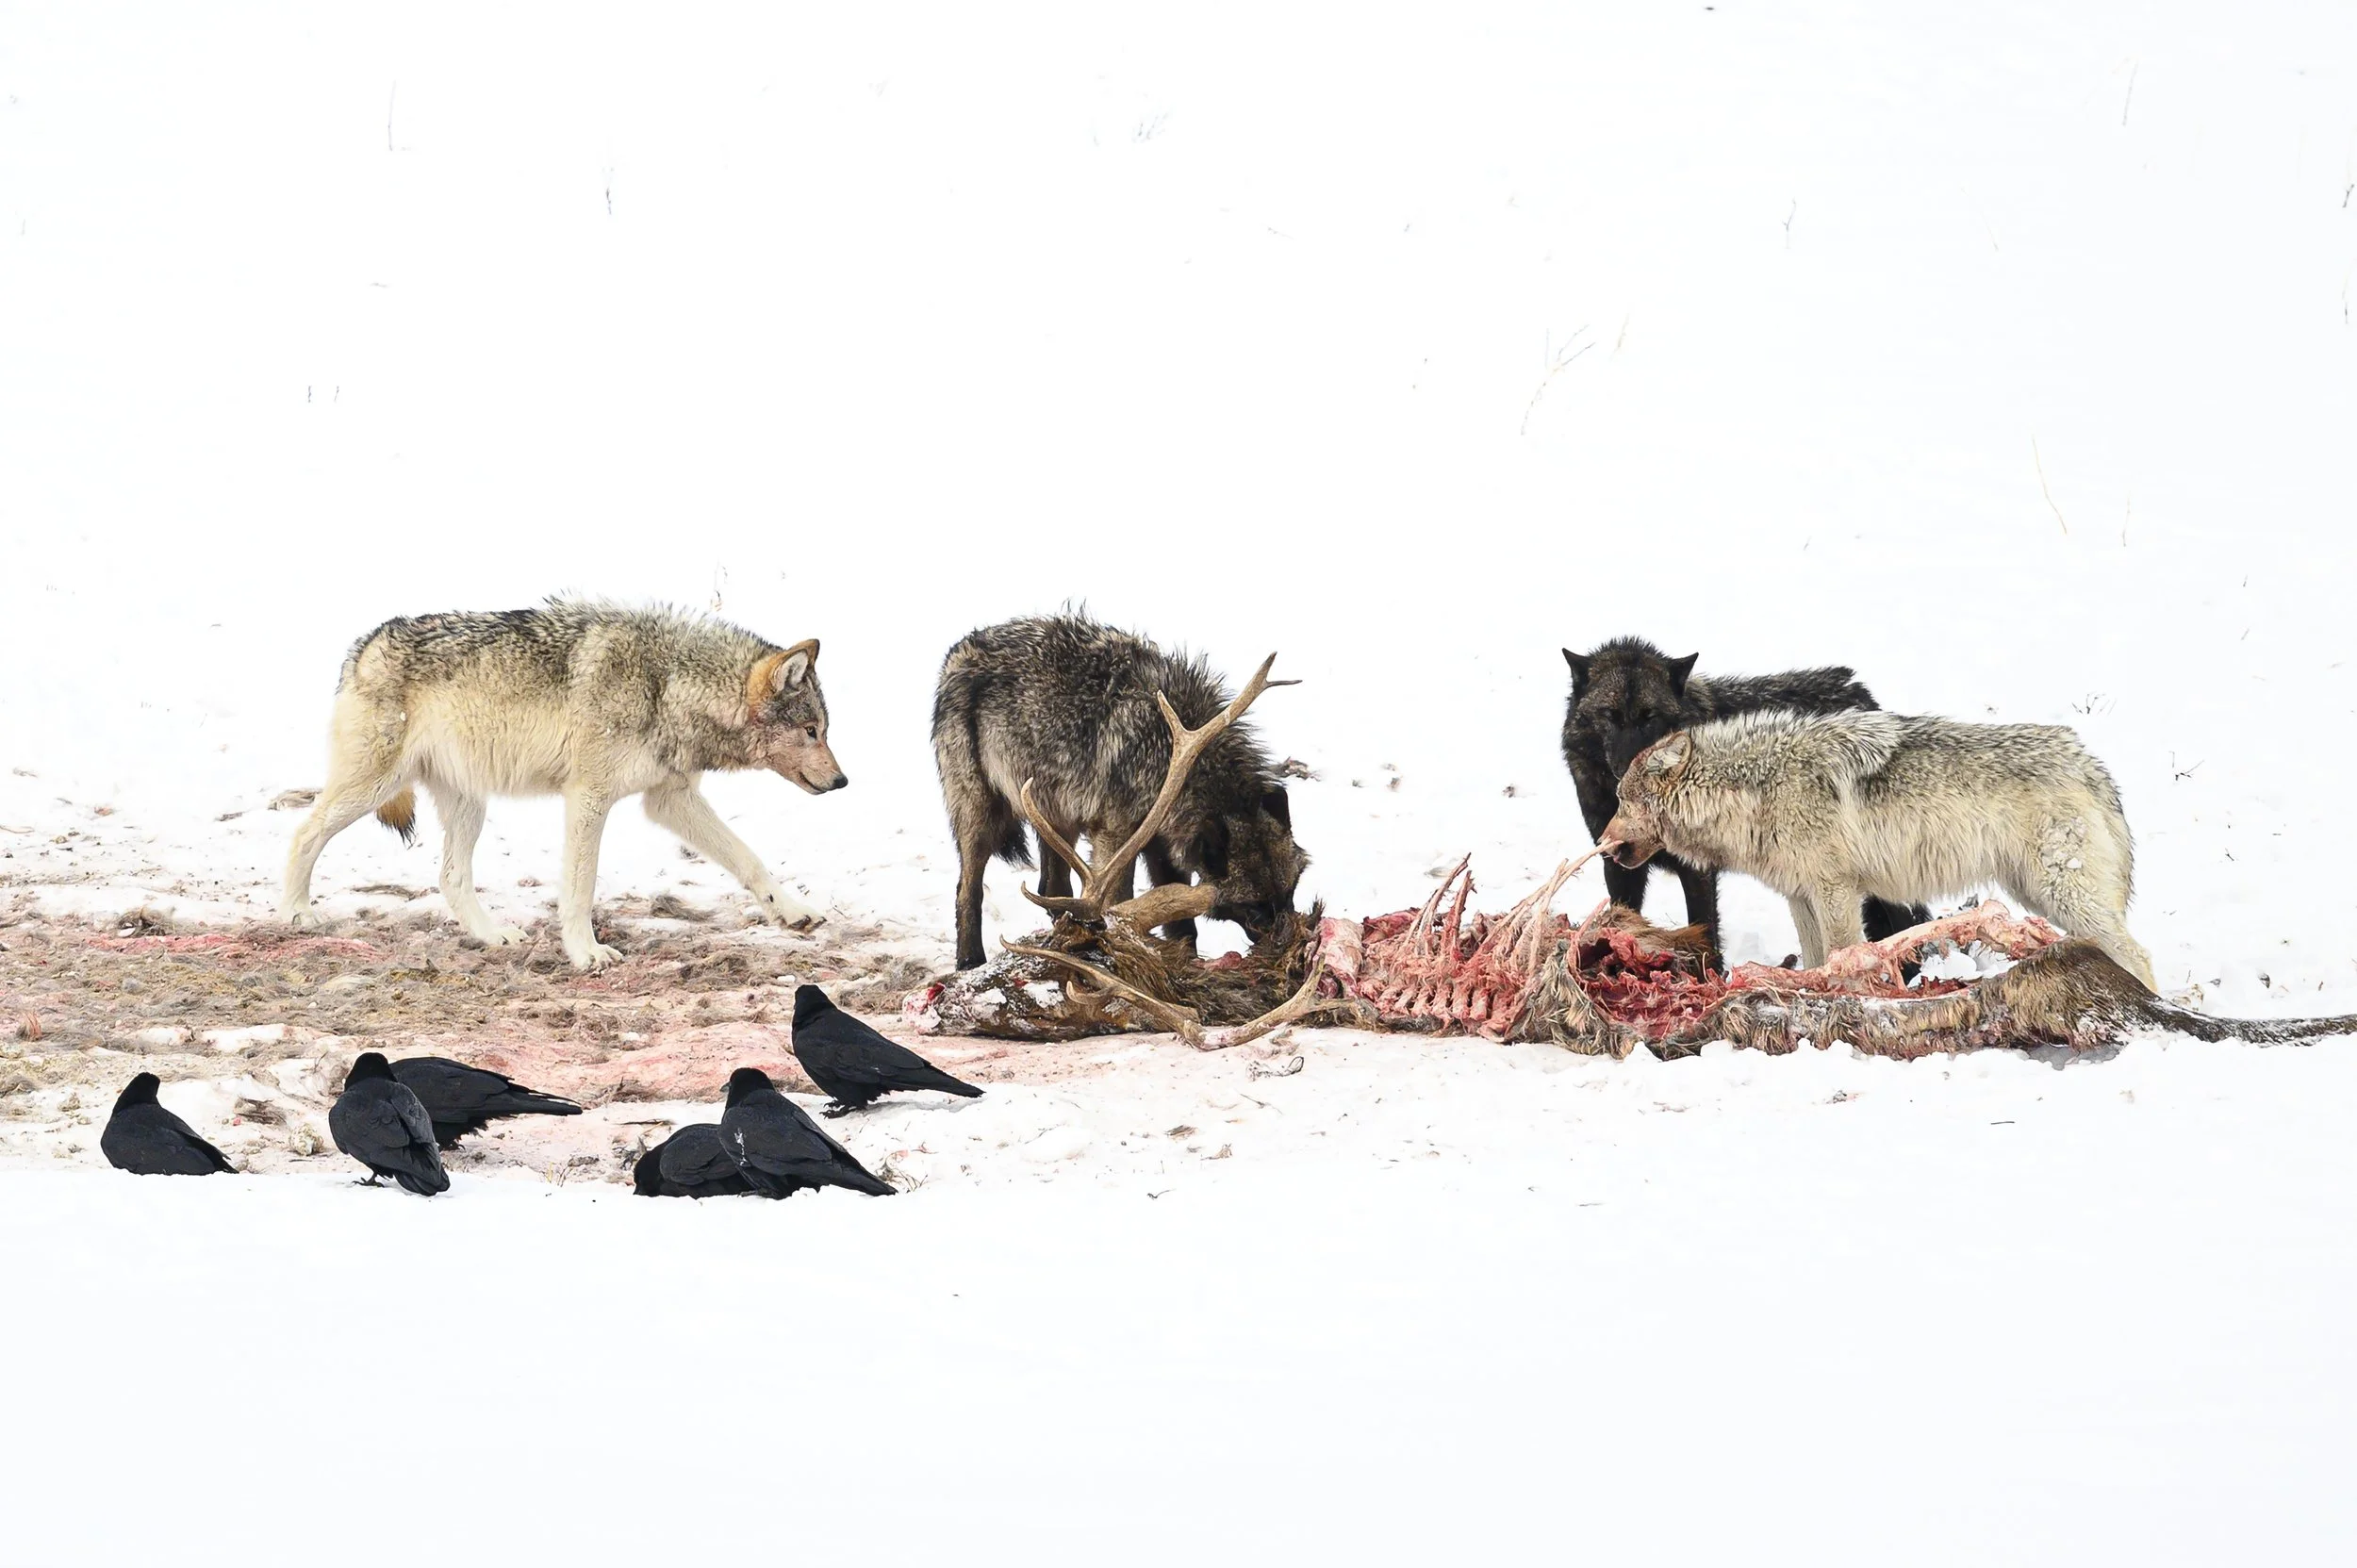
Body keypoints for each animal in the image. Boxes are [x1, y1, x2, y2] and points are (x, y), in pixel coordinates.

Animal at [279, 600, 846, 970]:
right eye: (810, 730)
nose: (842, 780)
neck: (667, 685)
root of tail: (366, 642)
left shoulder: (668, 797)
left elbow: (749, 858)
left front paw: (793, 913)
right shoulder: (589, 798)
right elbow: (580, 887)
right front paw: (587, 953)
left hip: (468, 804)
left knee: (451, 878)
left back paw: (495, 936)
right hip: (374, 787)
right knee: (304, 833)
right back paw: (296, 913)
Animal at [932, 613, 1308, 971]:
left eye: (1291, 891)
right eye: (1254, 908)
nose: (1294, 951)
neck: (1170, 752)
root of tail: (955, 655)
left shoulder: (1164, 845)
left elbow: (1182, 925)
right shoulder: (1116, 838)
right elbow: (1123, 905)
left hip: (1057, 816)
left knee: (1051, 888)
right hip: (979, 813)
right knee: (967, 890)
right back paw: (970, 961)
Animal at [1562, 636, 1925, 963]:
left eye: (1650, 716)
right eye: (1609, 715)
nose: (1629, 768)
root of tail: (1860, 692)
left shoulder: (1698, 871)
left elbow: (1706, 932)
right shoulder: (1617, 864)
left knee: (1904, 920)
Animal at [1599, 709, 2155, 986]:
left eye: (1622, 799)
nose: (1601, 846)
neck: (1755, 788)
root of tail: (2091, 766)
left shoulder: (1836, 891)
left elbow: (1843, 954)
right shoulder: (1801, 896)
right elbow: (1815, 958)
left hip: (2061, 894)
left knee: (2138, 954)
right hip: (2039, 895)